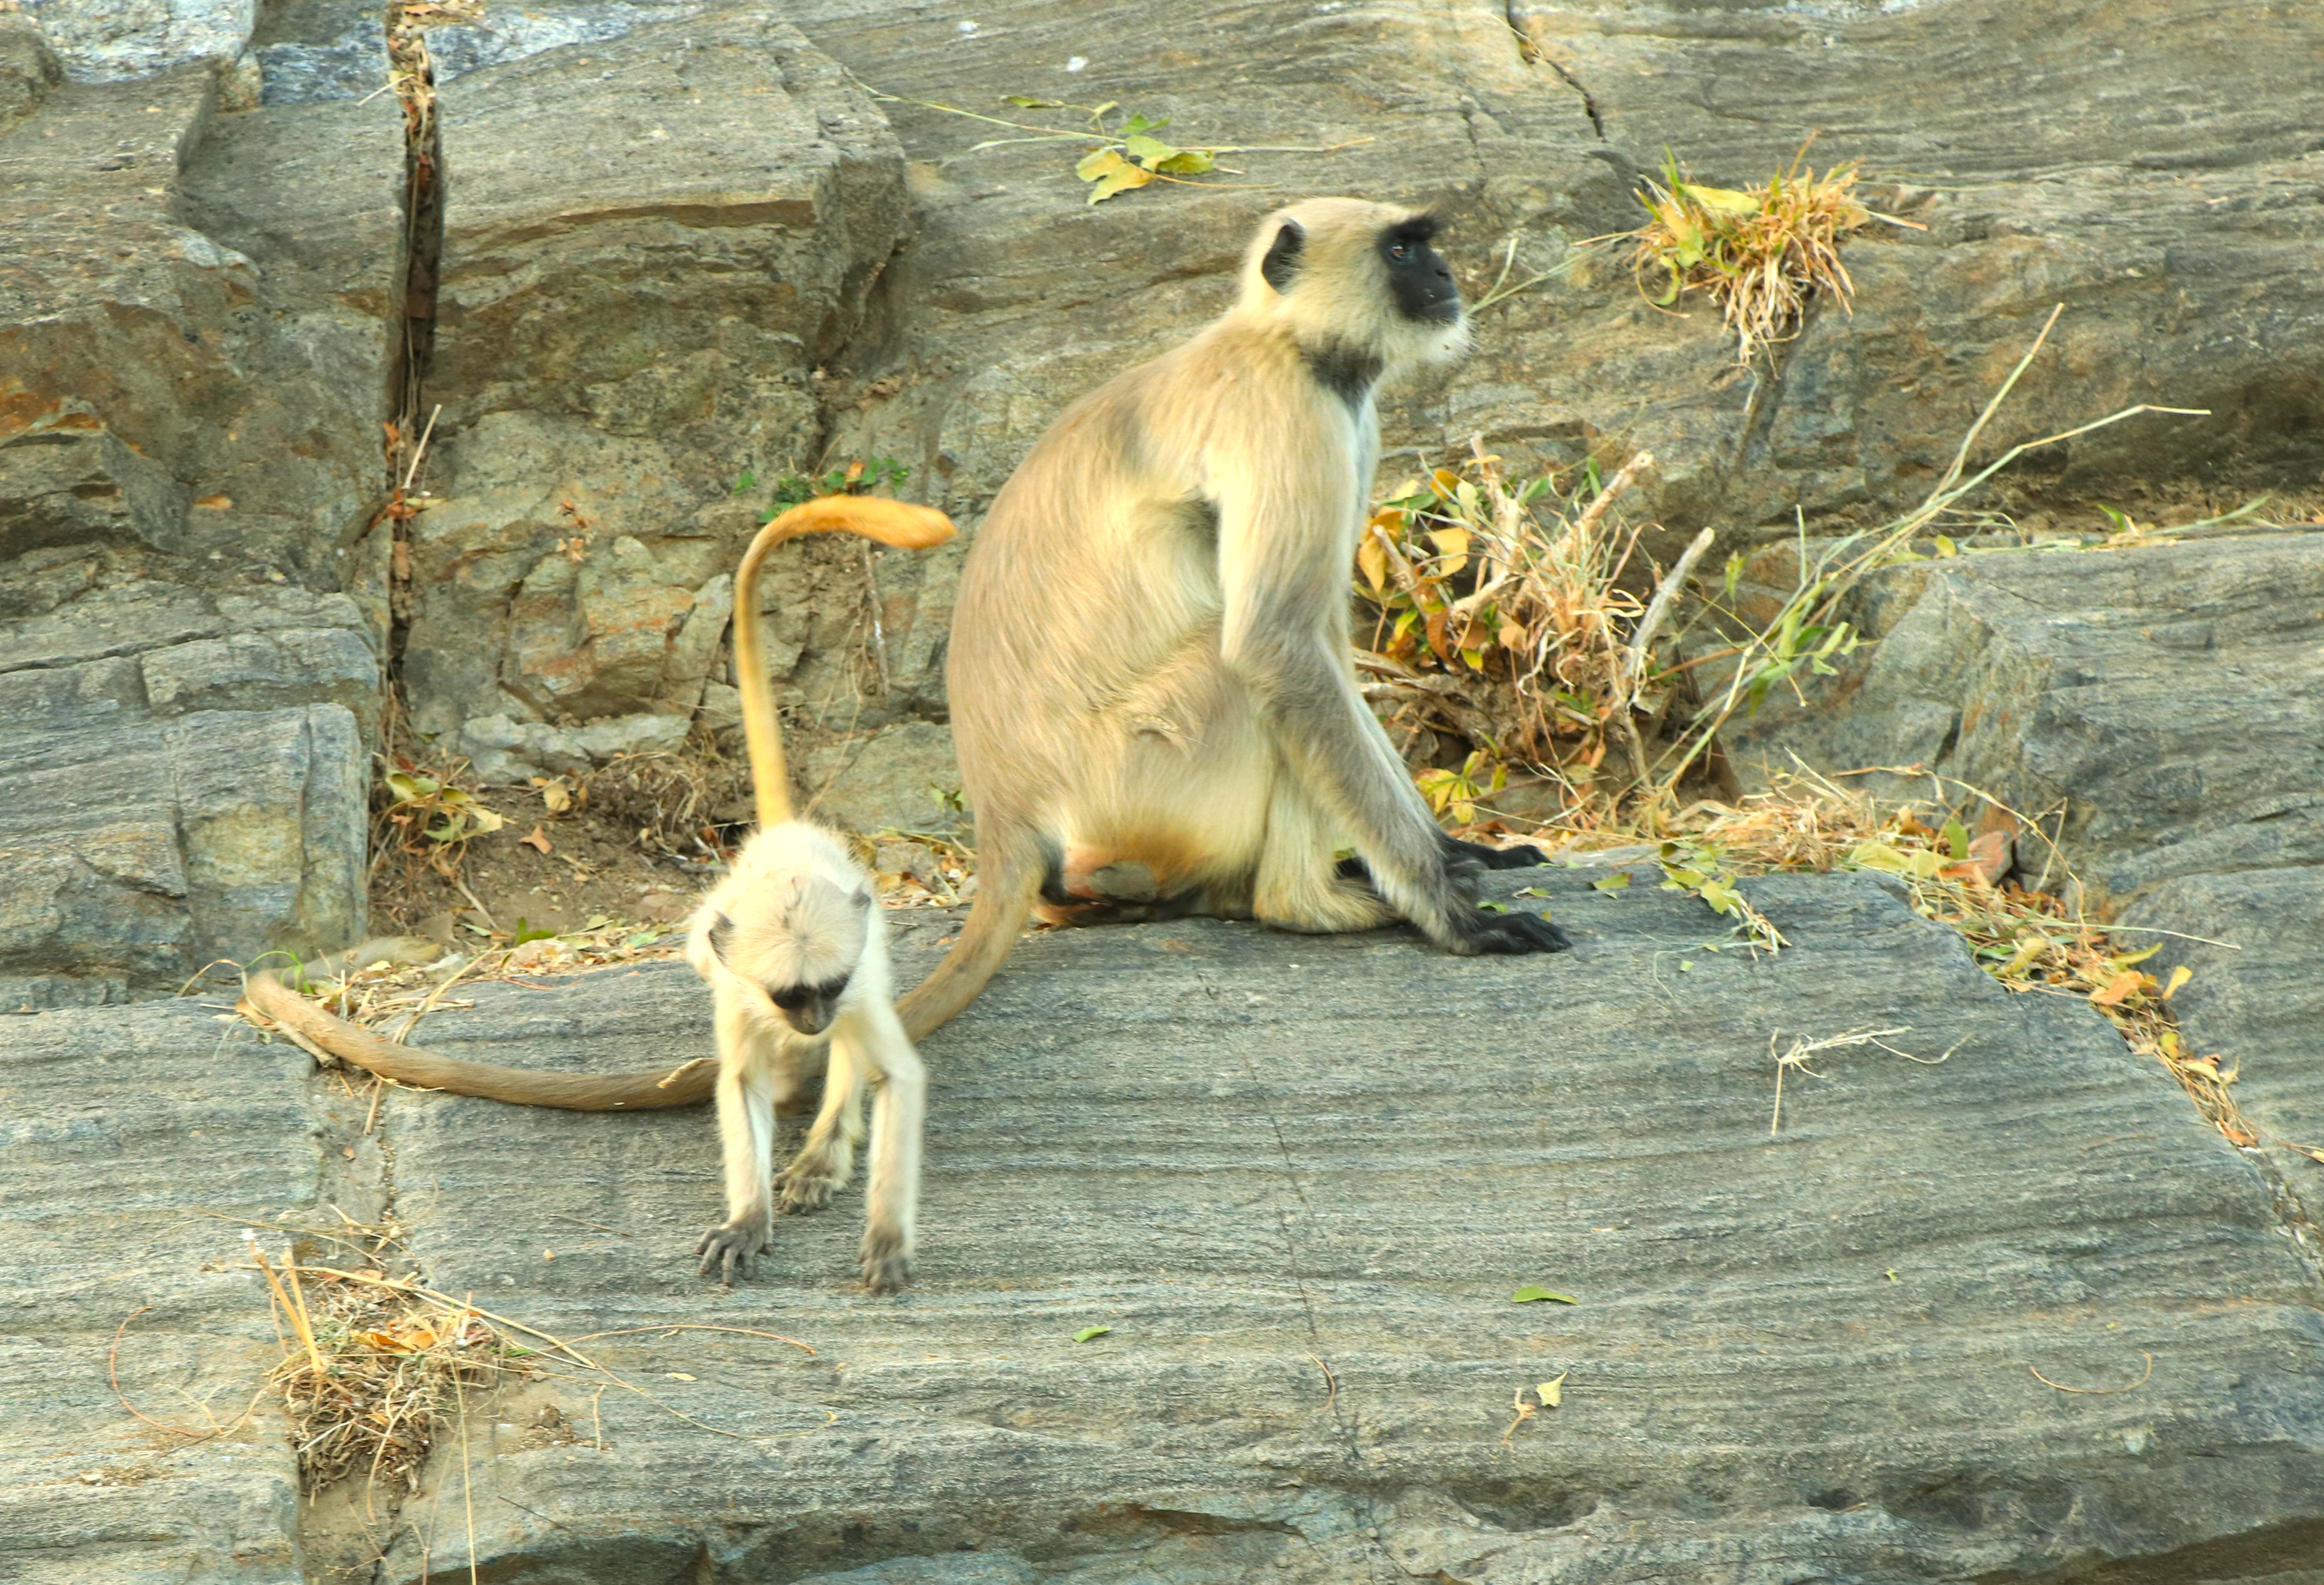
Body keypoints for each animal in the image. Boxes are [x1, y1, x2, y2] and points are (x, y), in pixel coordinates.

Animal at [892, 198, 1568, 1046]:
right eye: (1402, 250)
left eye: (1423, 245)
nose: (1446, 274)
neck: (1280, 340)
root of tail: (1004, 815)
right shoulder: (1286, 413)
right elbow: (1278, 646)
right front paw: (1450, 913)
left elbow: (1325, 644)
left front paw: (1452, 851)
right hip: (1140, 777)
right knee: (1250, 673)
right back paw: (1305, 903)